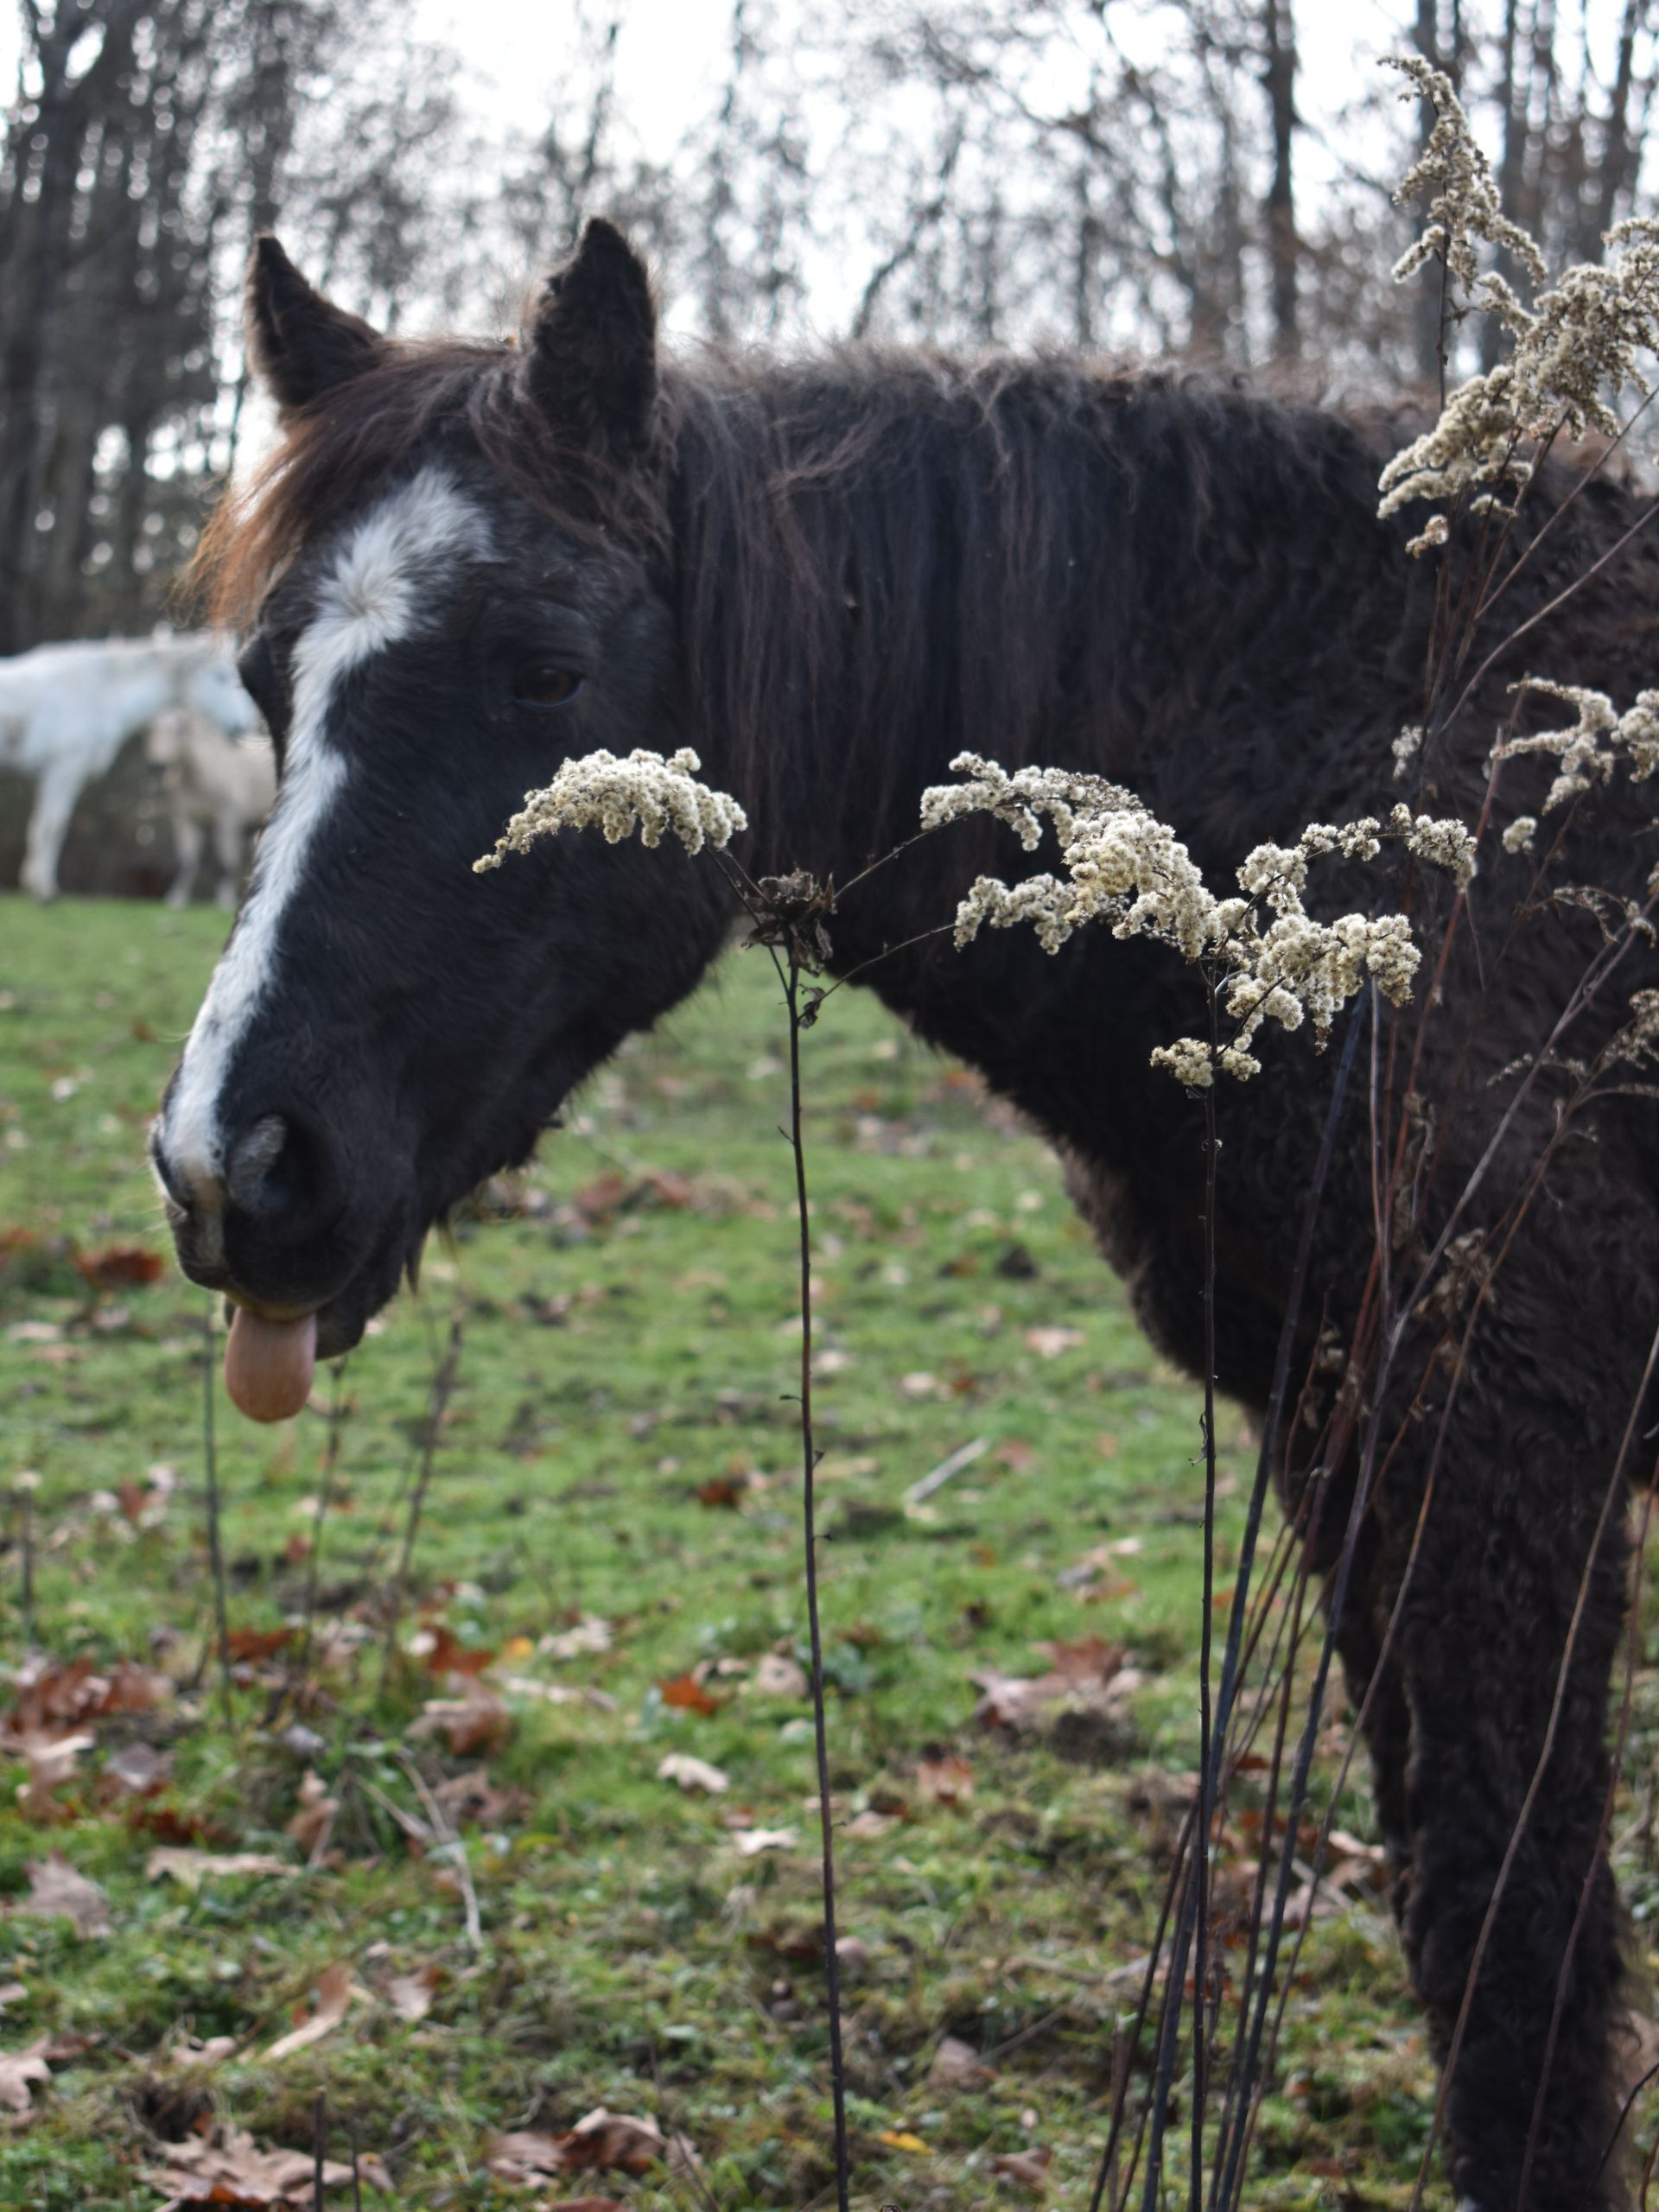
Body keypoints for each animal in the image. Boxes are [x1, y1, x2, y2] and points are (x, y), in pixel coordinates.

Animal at [0, 632, 259, 898]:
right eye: (221, 676)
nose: (243, 726)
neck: (97, 691)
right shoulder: (64, 769)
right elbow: (52, 825)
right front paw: (42, 889)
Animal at [144, 703, 276, 902]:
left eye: (178, 731)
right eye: (151, 731)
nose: (157, 767)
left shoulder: (227, 820)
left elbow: (225, 860)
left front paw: (224, 899)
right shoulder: (186, 820)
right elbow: (186, 860)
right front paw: (176, 898)